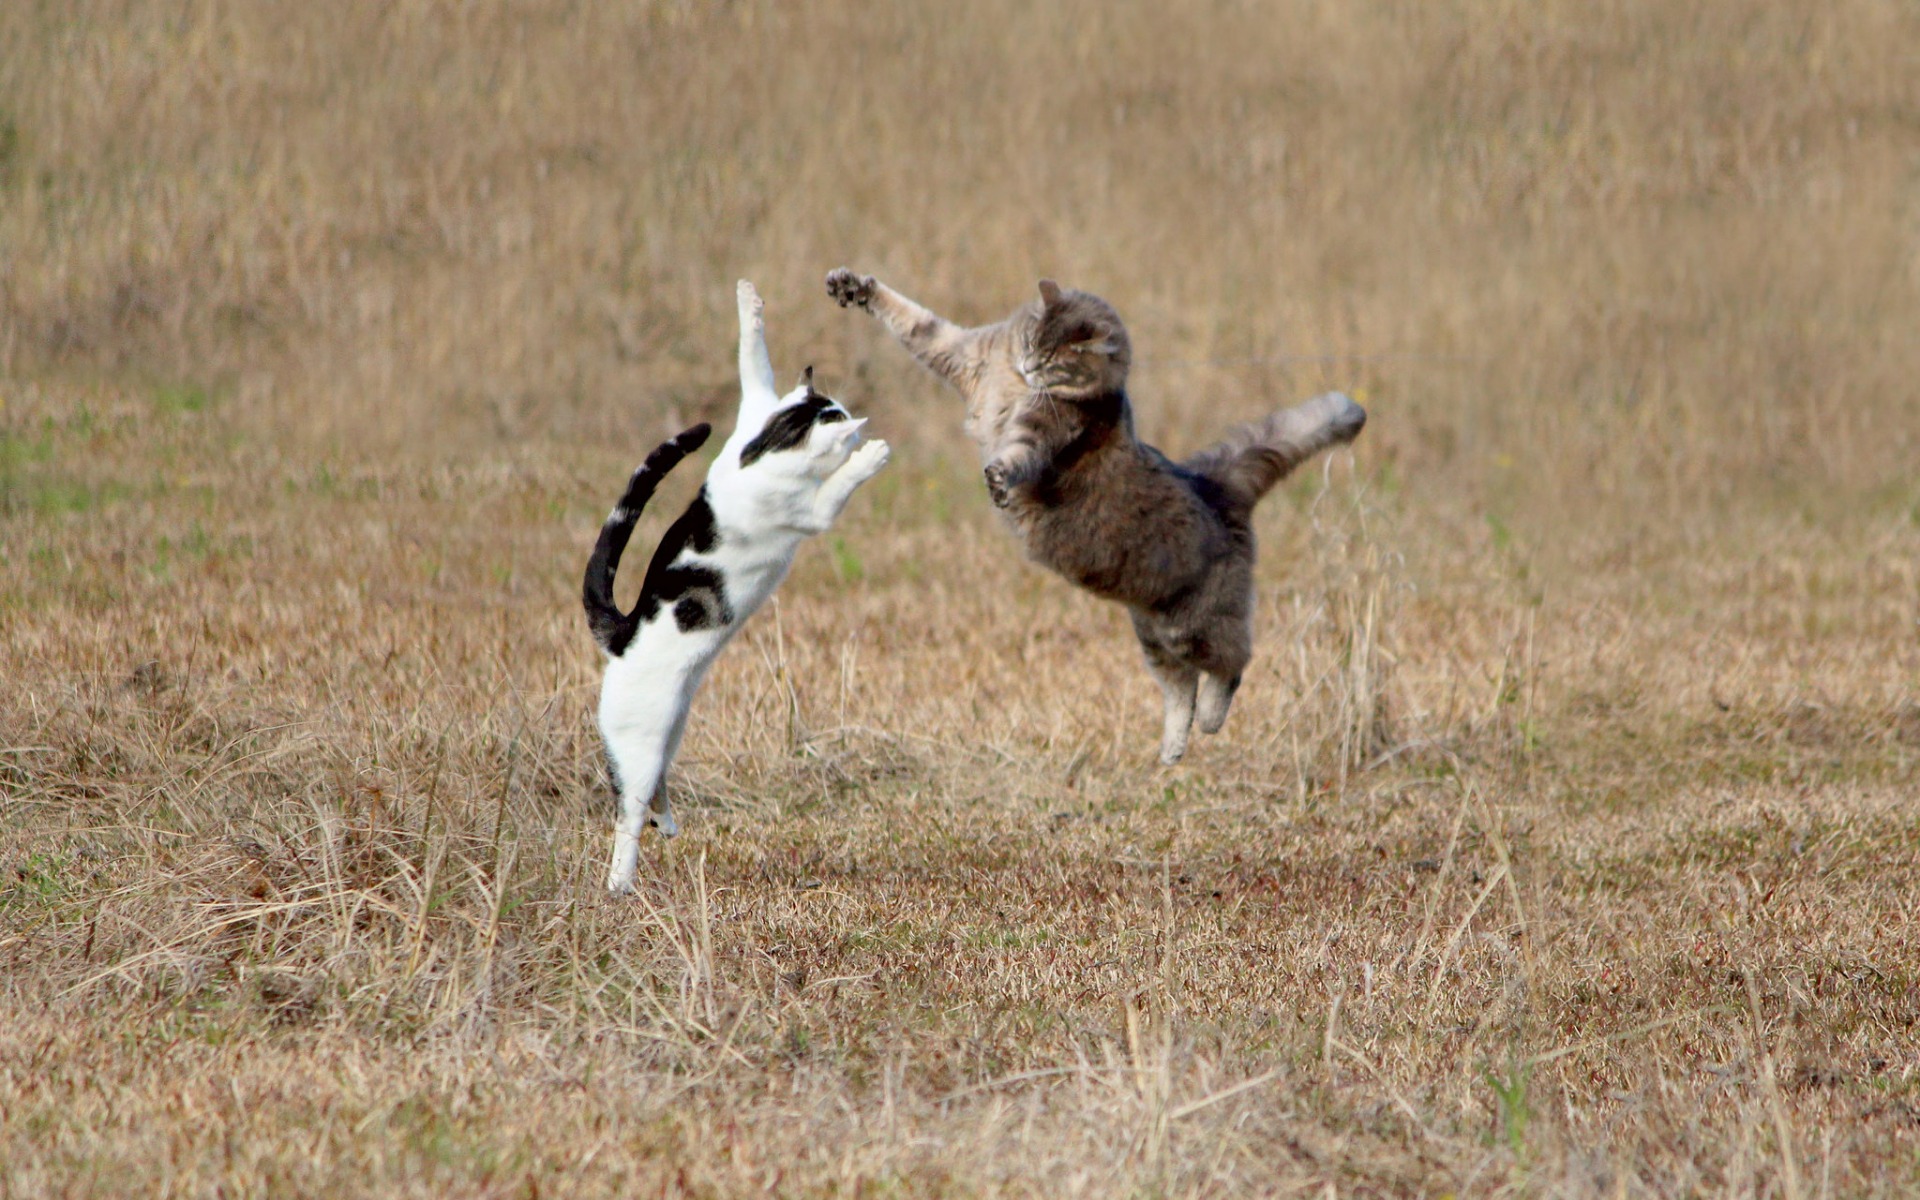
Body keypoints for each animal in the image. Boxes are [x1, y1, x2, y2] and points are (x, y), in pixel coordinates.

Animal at [583, 280, 890, 890]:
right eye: (840, 417)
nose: (853, 420)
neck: (761, 449)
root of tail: (622, 635)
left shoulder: (758, 399)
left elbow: (752, 352)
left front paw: (749, 300)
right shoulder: (815, 512)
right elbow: (837, 485)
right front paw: (868, 453)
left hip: (671, 731)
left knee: (650, 792)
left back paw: (669, 825)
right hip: (644, 738)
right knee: (627, 811)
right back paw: (620, 884)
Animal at [825, 268, 1367, 764]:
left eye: (1052, 361)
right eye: (1030, 341)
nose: (1027, 365)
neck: (1012, 379)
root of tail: (1215, 483)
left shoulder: (1044, 429)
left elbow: (1018, 452)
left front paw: (999, 477)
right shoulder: (963, 352)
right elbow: (913, 318)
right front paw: (853, 286)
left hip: (1194, 627)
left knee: (1231, 666)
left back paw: (1211, 720)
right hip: (1153, 635)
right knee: (1180, 690)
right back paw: (1172, 749)